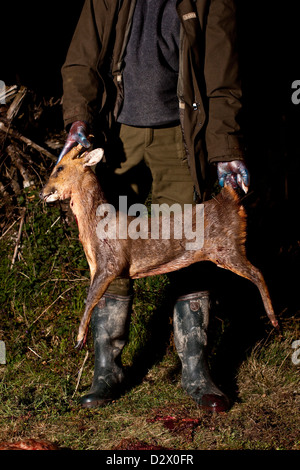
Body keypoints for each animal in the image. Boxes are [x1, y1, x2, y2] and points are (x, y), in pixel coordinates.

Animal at [40, 145, 278, 350]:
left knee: (257, 272)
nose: (43, 193)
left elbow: (90, 299)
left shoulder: (111, 263)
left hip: (228, 246)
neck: (97, 224)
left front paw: (79, 339)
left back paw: (274, 320)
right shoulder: (96, 267)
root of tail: (230, 198)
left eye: (59, 168)